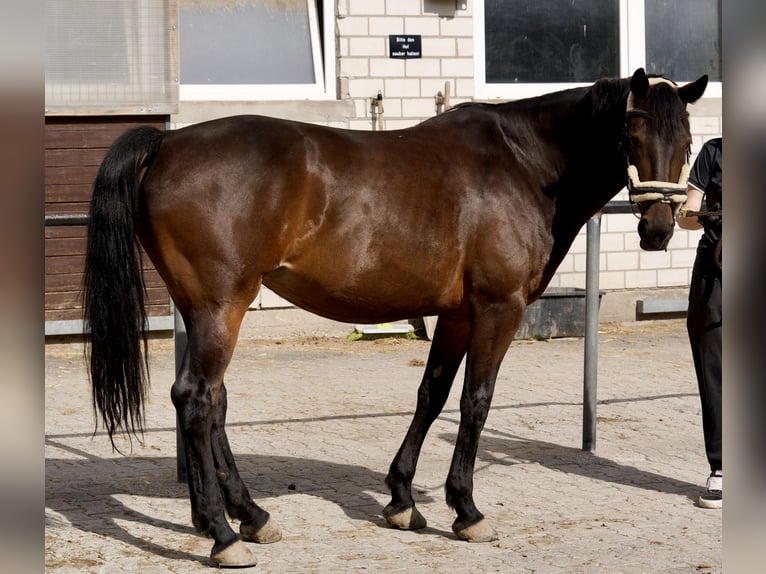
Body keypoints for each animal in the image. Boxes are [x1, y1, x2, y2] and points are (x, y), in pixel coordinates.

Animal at [83, 68, 707, 567]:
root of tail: (168, 140)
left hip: (206, 309)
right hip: (221, 307)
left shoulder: (455, 316)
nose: (658, 228)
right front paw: (467, 510)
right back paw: (222, 534)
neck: (523, 163)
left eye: (687, 140)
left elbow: (432, 396)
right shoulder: (497, 309)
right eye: (633, 134)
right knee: (195, 399)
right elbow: (475, 402)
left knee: (211, 403)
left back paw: (249, 516)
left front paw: (402, 499)